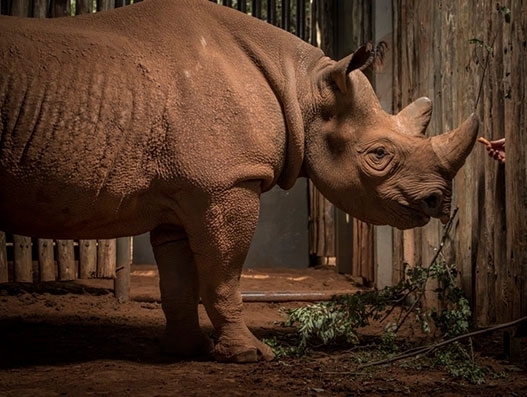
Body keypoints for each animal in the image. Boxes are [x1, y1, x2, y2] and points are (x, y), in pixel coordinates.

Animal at [0, 0, 478, 362]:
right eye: (379, 155)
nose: (439, 202)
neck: (303, 86)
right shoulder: (226, 183)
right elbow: (223, 275)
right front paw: (251, 355)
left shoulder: (182, 191)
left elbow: (180, 281)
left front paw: (185, 350)